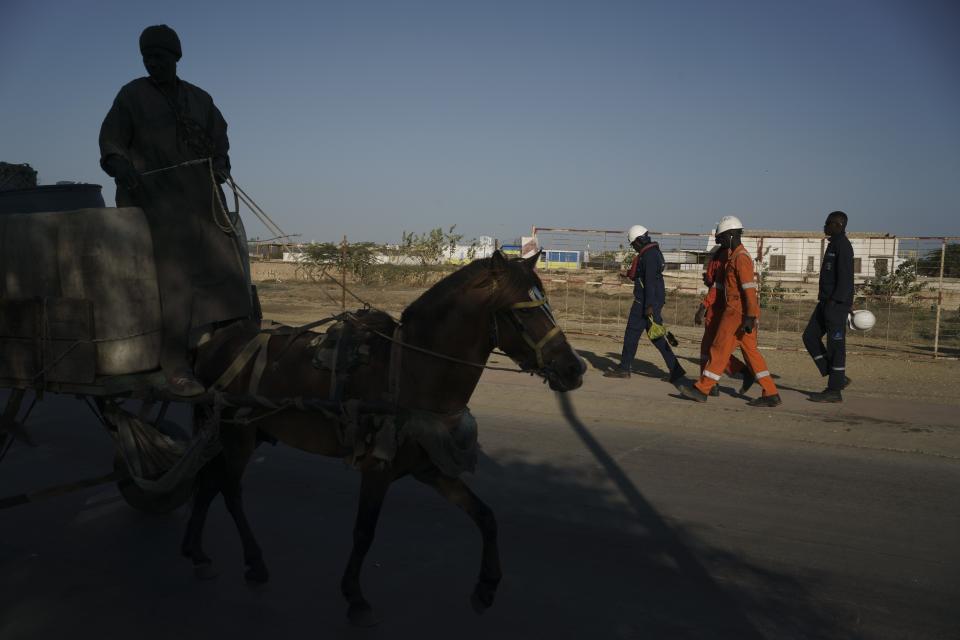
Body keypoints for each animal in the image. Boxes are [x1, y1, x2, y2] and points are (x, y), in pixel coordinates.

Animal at [181, 250, 584, 624]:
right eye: (522, 313)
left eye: (546, 303)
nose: (574, 368)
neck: (413, 372)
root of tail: (215, 341)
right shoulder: (377, 467)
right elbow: (364, 531)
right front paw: (355, 597)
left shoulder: (430, 468)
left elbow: (486, 516)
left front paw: (486, 587)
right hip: (237, 434)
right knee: (230, 491)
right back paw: (254, 563)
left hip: (244, 434)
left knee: (209, 484)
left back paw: (196, 552)